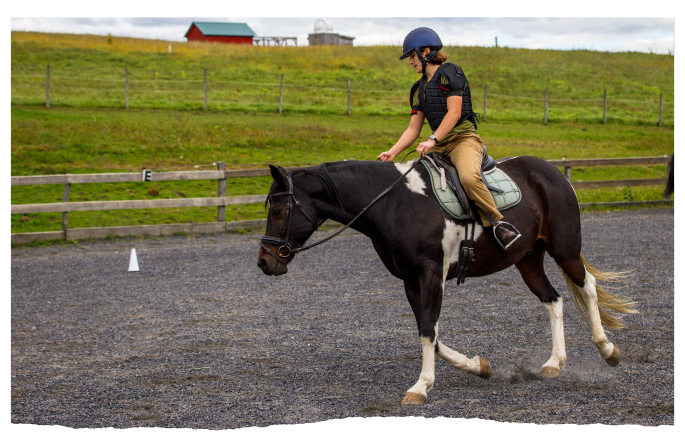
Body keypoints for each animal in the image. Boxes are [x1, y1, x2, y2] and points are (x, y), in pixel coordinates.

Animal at [256, 156, 636, 404]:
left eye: (278, 210)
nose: (264, 262)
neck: (395, 204)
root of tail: (553, 172)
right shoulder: (411, 281)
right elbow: (431, 333)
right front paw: (478, 367)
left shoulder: (430, 274)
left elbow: (428, 330)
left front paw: (421, 386)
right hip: (527, 260)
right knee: (553, 300)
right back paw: (555, 362)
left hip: (564, 249)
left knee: (587, 287)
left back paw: (608, 349)